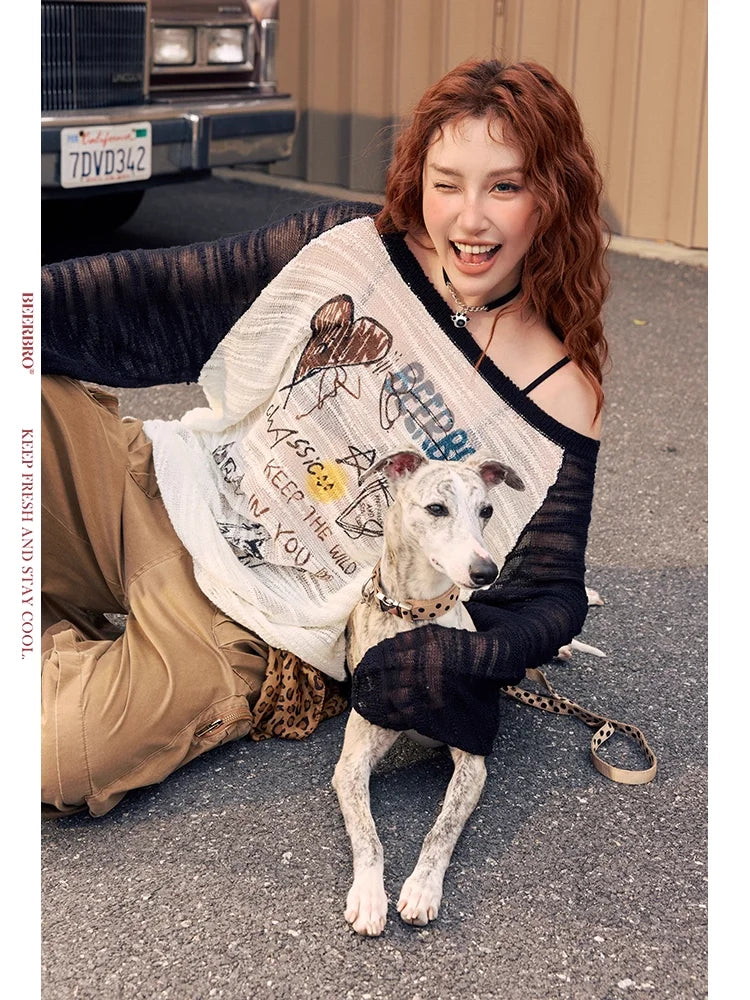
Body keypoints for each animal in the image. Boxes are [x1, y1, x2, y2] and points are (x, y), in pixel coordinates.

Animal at [333, 448, 526, 936]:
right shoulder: (351, 764)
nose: (486, 572)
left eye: (486, 511)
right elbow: (368, 836)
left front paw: (422, 888)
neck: (418, 622)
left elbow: (442, 829)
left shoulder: (472, 759)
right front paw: (369, 895)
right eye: (437, 508)